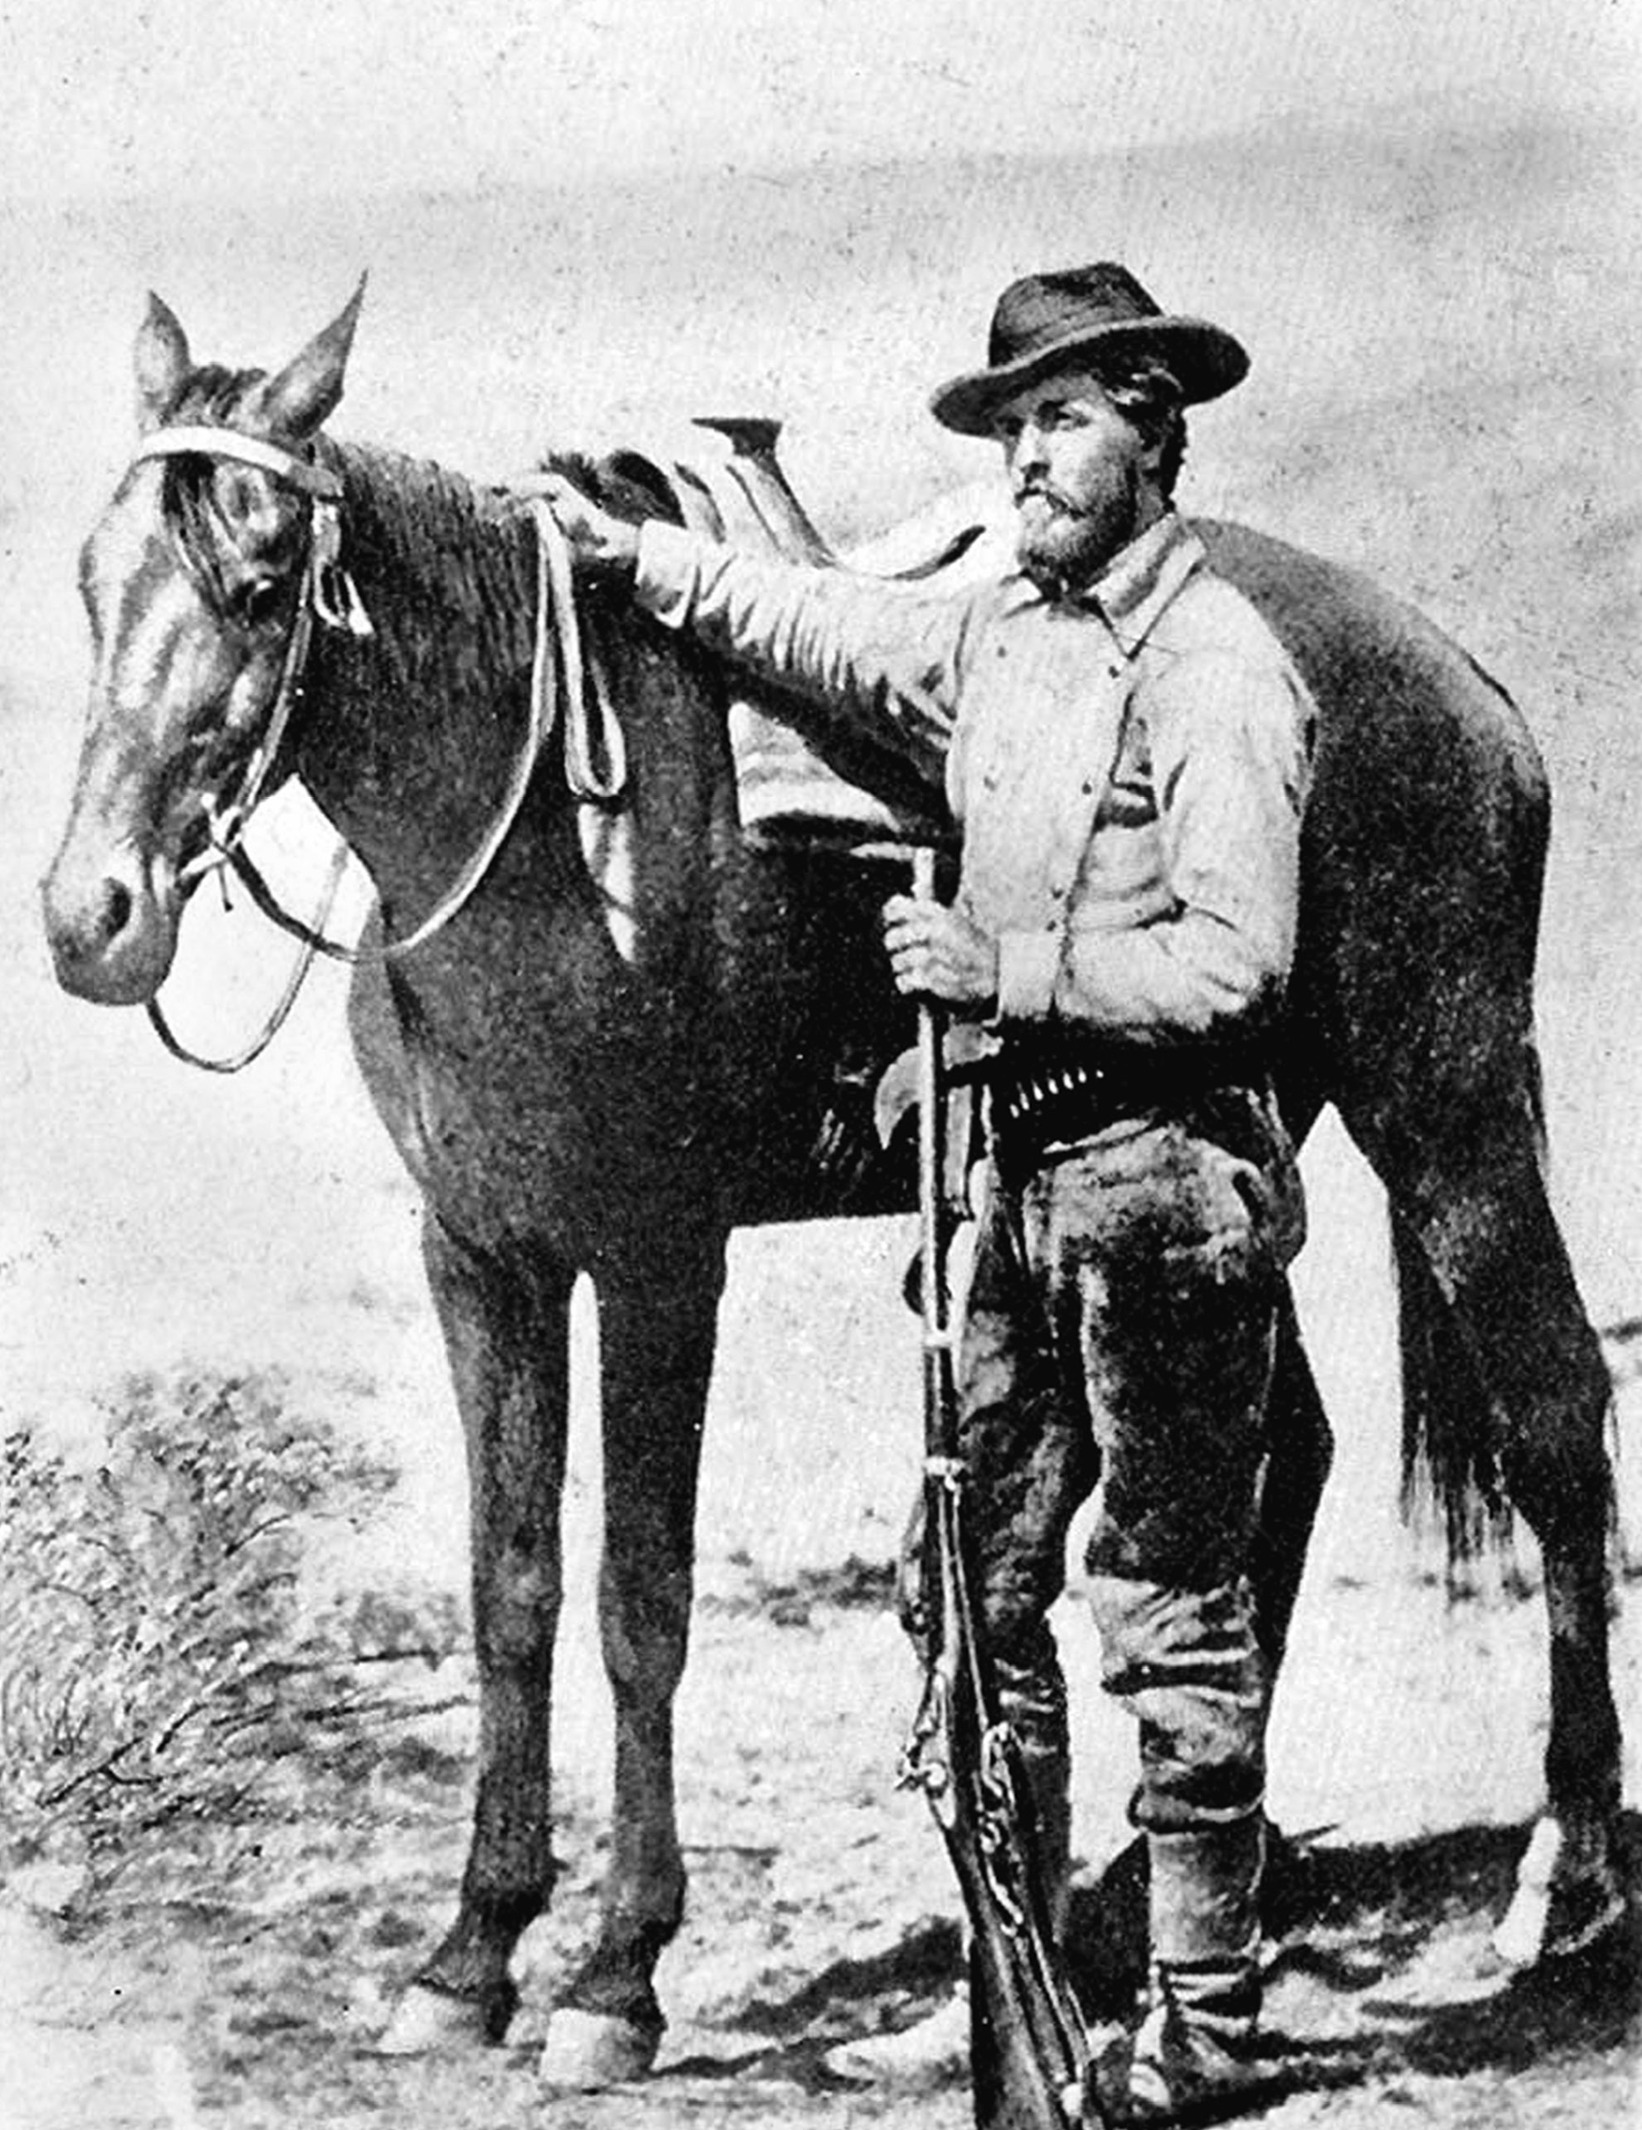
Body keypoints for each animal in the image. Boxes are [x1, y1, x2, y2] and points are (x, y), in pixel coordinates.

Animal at [41, 283, 1627, 2078]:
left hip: (1446, 1114)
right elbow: (506, 1593)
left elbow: (636, 1603)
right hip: (1236, 1166)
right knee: (1270, 1469)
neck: (540, 829)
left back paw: (1562, 1880)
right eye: (93, 580)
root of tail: (1460, 681)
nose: (90, 917)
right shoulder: (483, 1255)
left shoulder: (657, 1256)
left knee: (1553, 1418)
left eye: (256, 582)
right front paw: (469, 1953)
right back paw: (1139, 1901)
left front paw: (615, 1976)